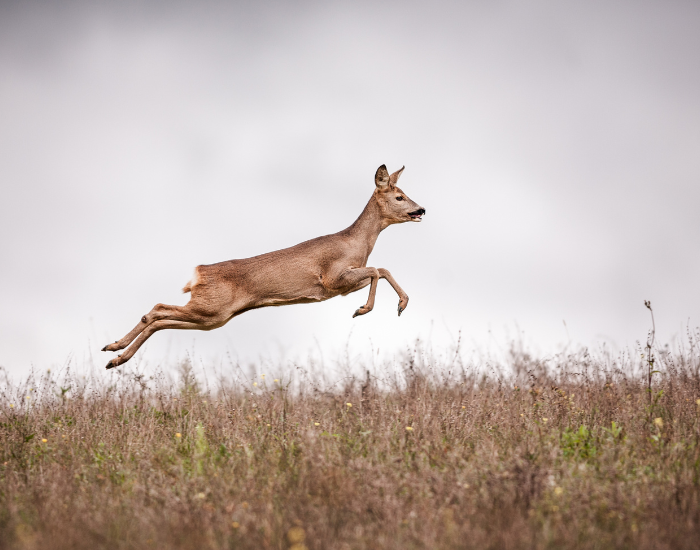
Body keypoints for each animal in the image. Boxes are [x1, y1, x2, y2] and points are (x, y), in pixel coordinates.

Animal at [101, 164, 425, 369]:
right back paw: (114, 351)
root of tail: (198, 273)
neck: (357, 244)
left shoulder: (342, 285)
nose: (421, 209)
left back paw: (114, 356)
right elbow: (377, 270)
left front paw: (401, 304)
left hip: (214, 317)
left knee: (161, 319)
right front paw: (364, 309)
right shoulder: (332, 279)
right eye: (399, 196)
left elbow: (381, 270)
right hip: (210, 307)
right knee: (156, 310)